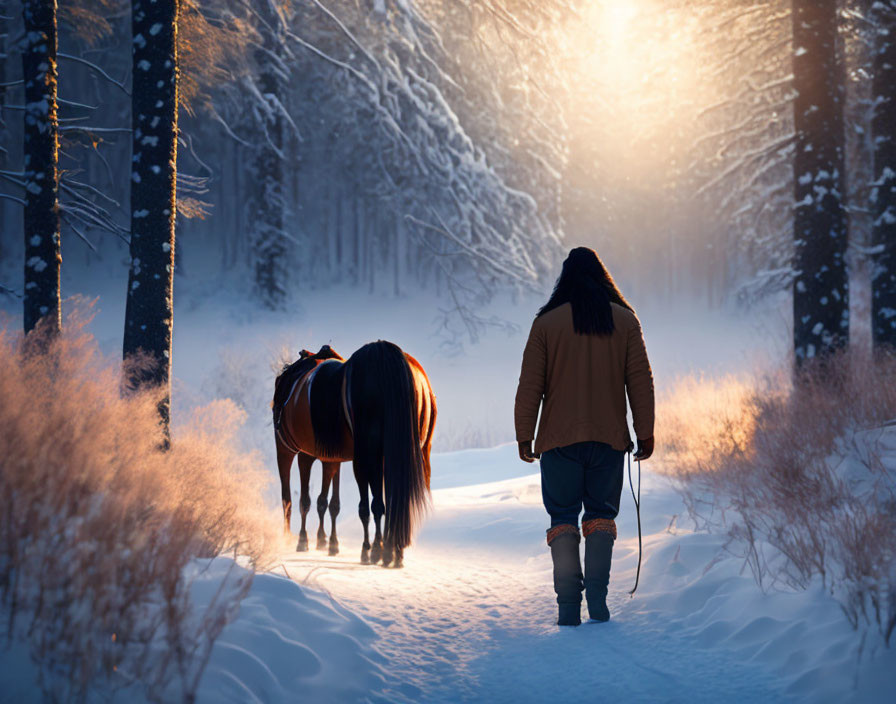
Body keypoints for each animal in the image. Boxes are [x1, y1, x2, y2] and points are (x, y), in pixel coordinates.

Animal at [276, 340, 438, 568]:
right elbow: (373, 505)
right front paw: (379, 550)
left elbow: (371, 505)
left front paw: (377, 550)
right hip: (294, 451)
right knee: (292, 497)